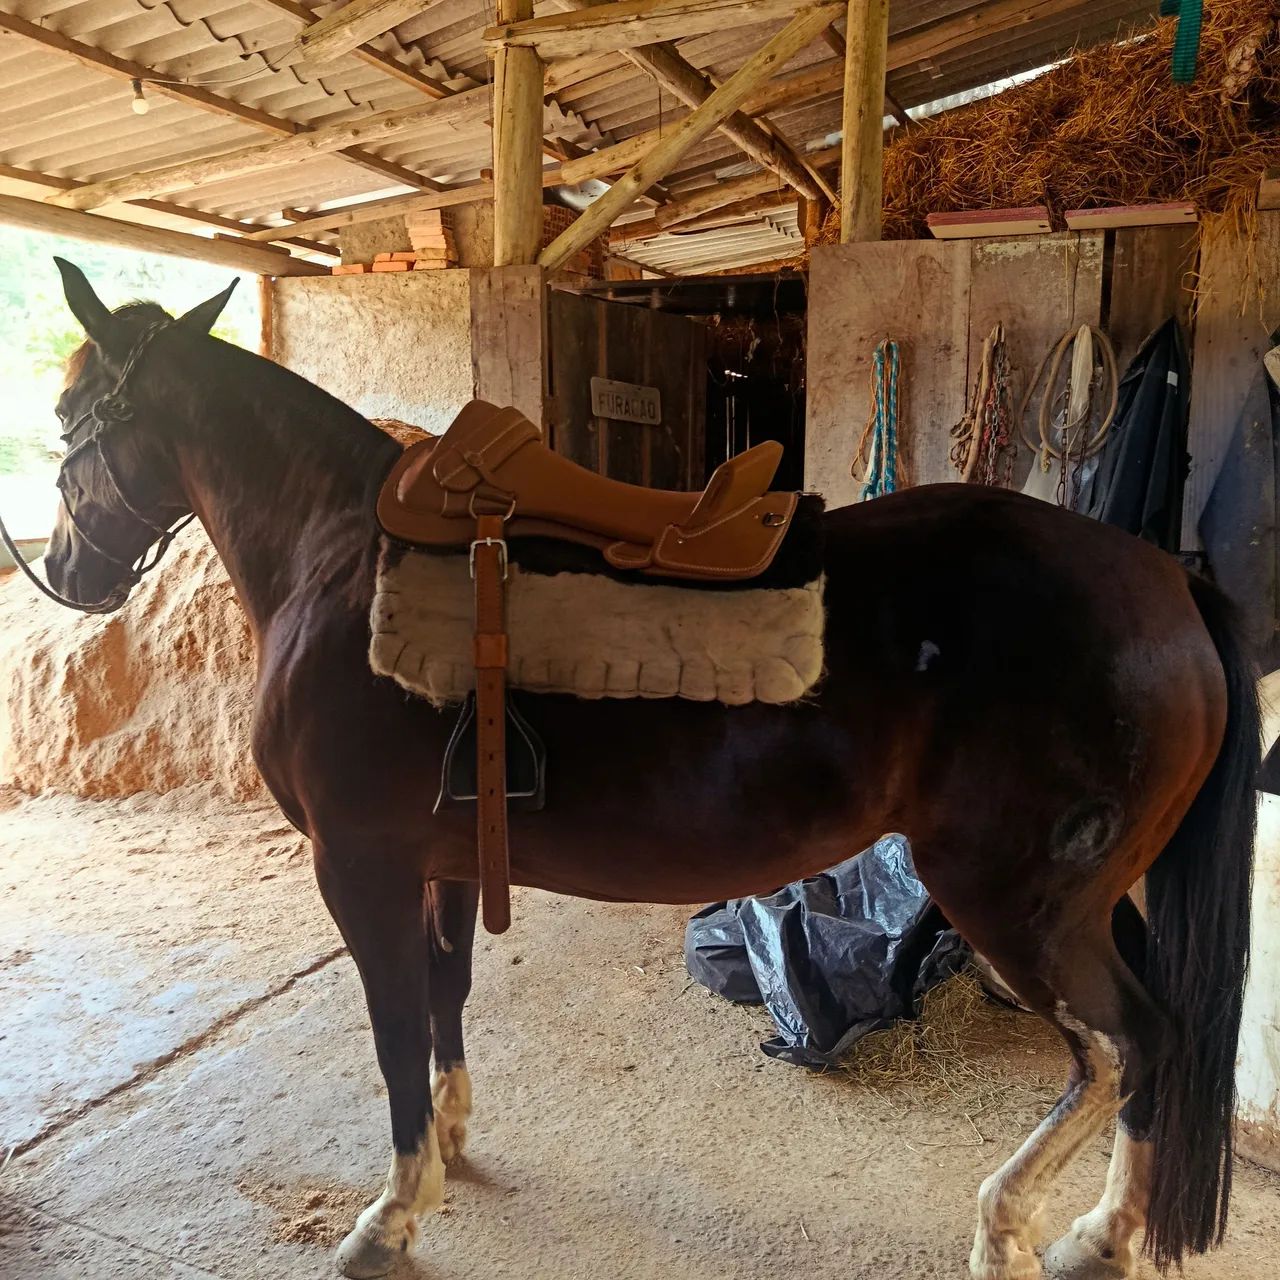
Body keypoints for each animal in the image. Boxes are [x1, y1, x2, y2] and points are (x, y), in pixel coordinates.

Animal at [30, 259, 1257, 1280]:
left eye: (65, 414)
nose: (68, 572)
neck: (338, 558)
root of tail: (1166, 578)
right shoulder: (442, 861)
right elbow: (445, 994)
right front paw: (452, 1146)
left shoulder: (360, 866)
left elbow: (391, 1029)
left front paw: (391, 1214)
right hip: (1096, 896)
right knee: (1162, 1041)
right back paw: (1107, 1231)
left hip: (1016, 902)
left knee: (1122, 1045)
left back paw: (1031, 1231)